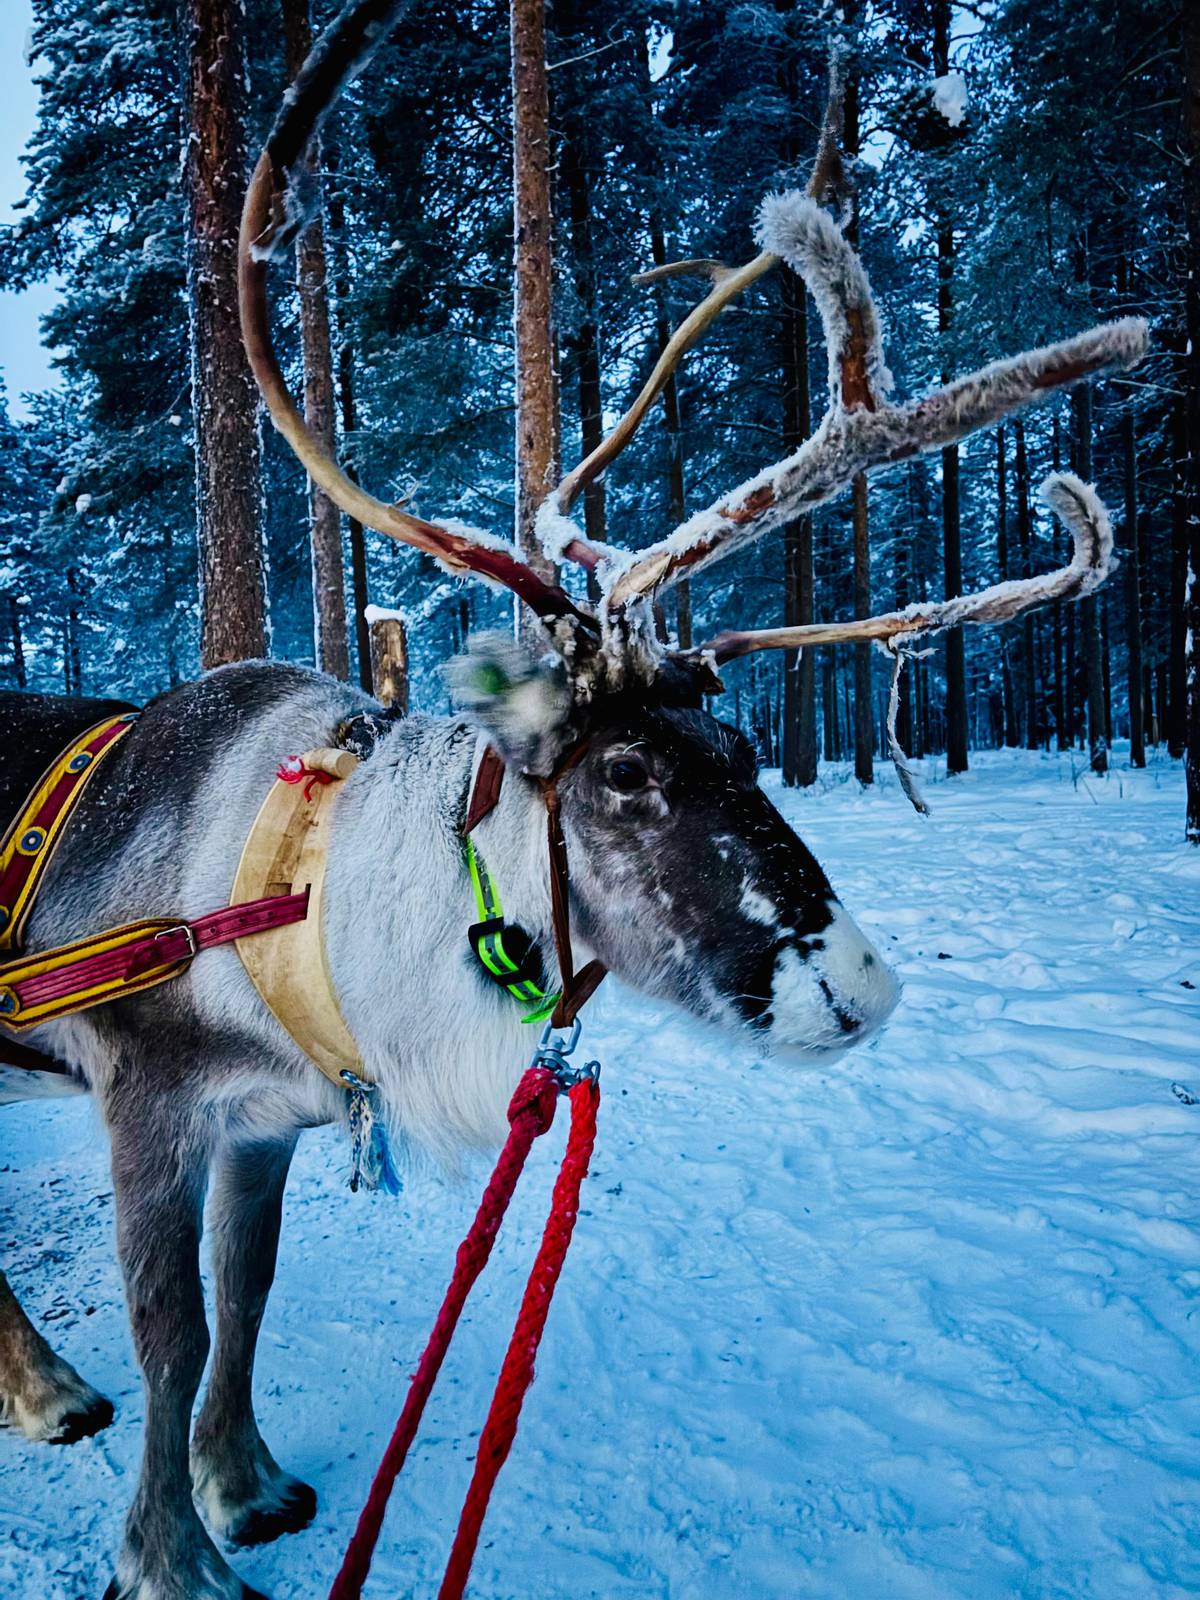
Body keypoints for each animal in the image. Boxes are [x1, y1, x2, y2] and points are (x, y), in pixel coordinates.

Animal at [0, 3, 1144, 1597]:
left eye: (743, 743)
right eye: (623, 772)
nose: (860, 988)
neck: (303, 895)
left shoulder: (270, 1120)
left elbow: (248, 1297)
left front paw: (247, 1483)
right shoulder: (145, 1090)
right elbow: (172, 1331)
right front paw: (169, 1552)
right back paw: (53, 1395)